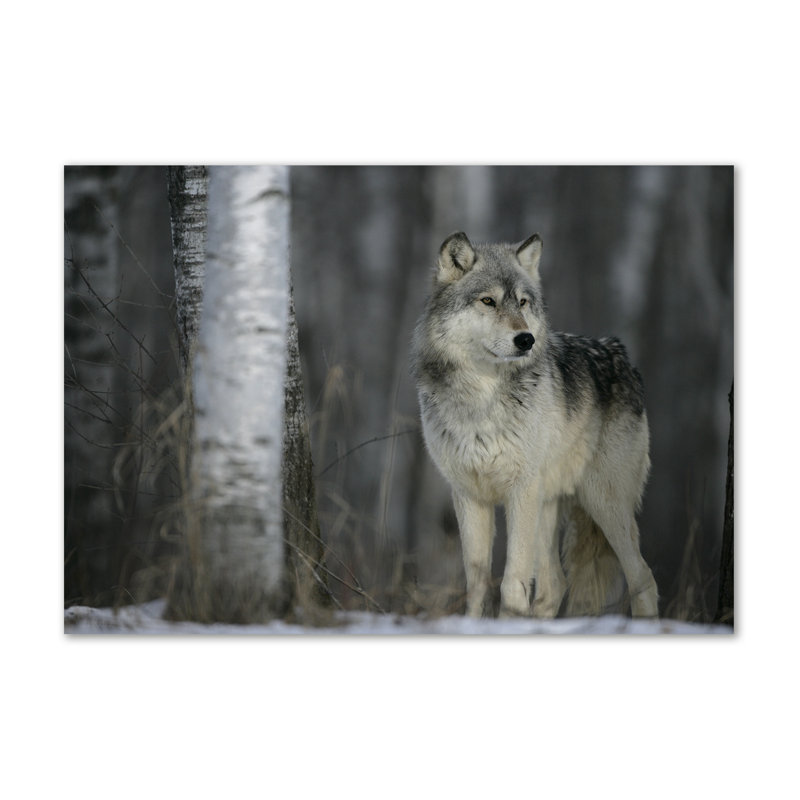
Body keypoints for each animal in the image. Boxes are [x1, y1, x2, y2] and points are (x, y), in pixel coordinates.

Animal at [411, 231, 659, 619]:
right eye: (488, 301)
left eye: (524, 303)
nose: (525, 339)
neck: (482, 398)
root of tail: (623, 355)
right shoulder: (468, 494)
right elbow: (477, 582)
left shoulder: (520, 490)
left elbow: (512, 580)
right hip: (549, 505)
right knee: (555, 585)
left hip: (602, 502)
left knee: (643, 576)